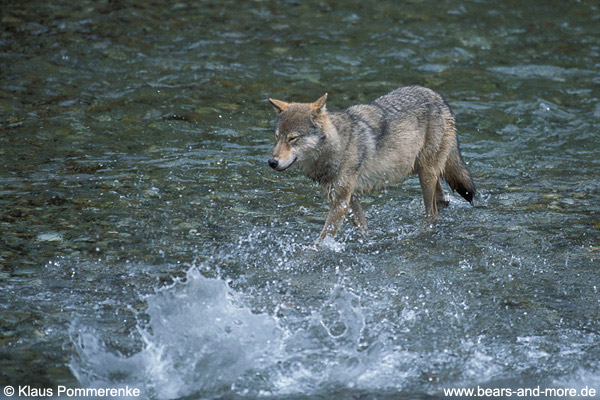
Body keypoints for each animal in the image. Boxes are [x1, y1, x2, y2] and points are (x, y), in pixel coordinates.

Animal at [268, 85, 474, 242]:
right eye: (277, 137)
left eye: (292, 138)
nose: (271, 162)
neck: (339, 145)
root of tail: (441, 99)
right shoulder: (350, 198)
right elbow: (362, 227)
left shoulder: (340, 202)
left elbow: (321, 240)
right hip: (423, 172)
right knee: (442, 199)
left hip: (426, 177)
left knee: (432, 212)